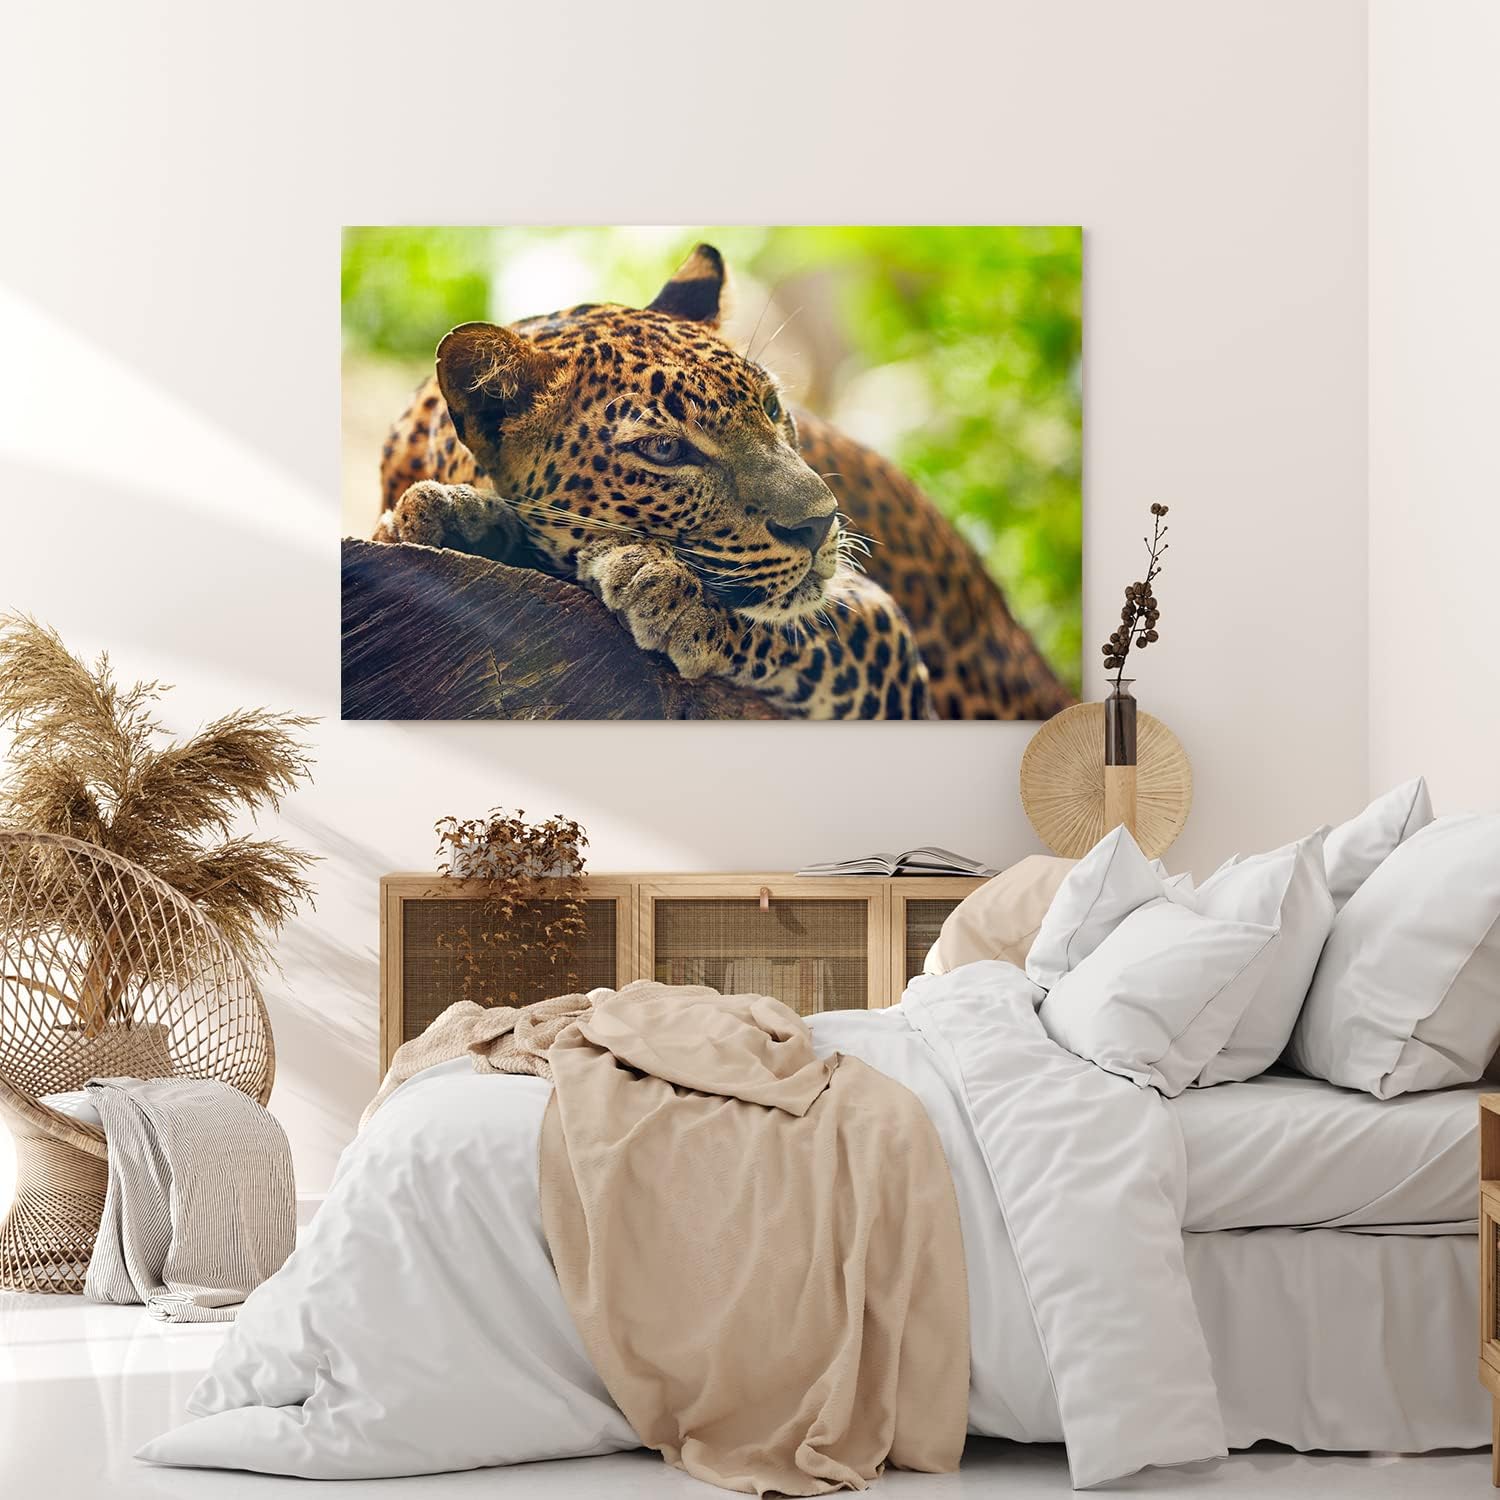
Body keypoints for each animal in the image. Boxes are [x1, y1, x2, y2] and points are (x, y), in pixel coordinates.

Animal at [373, 243, 1072, 720]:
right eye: (664, 449)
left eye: (770, 406)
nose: (821, 521)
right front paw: (452, 517)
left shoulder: (885, 635)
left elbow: (806, 624)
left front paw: (672, 595)